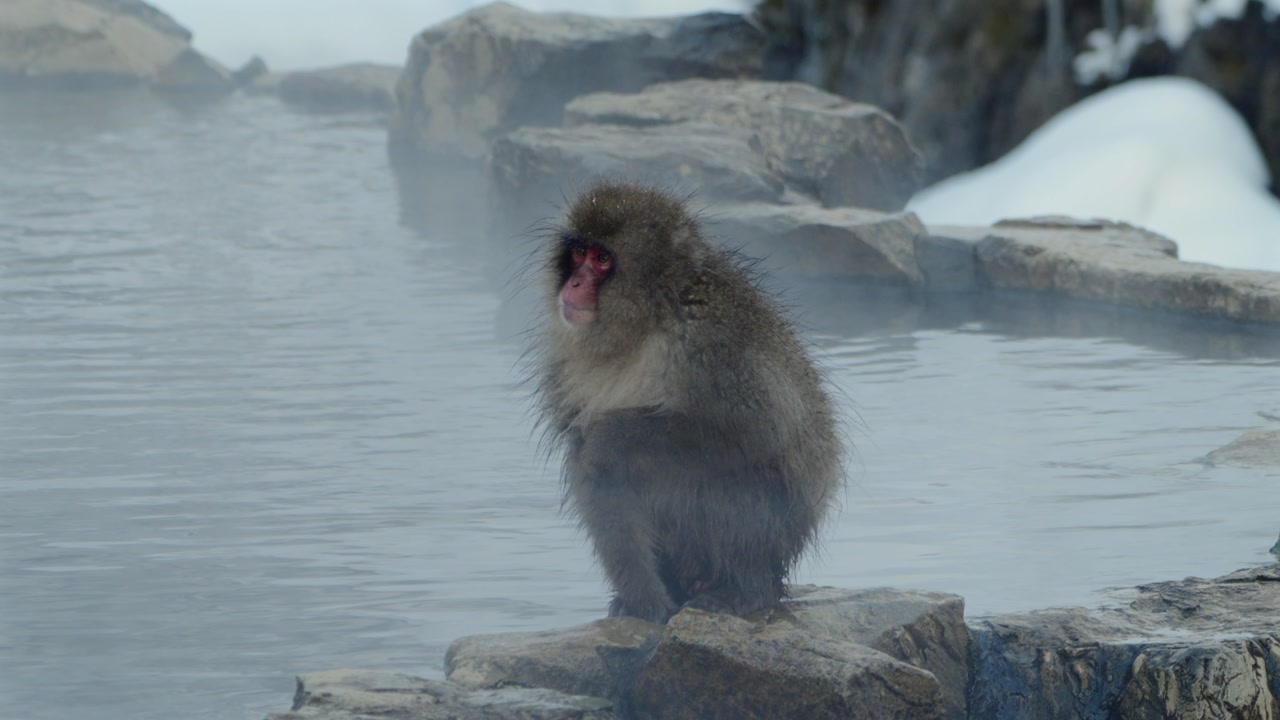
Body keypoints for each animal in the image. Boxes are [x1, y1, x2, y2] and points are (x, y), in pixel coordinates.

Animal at [532, 180, 843, 624]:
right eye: (578, 252)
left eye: (602, 259)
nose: (572, 285)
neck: (643, 326)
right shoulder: (565, 362)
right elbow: (594, 474)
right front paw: (644, 604)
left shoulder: (713, 341)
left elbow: (756, 435)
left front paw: (610, 435)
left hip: (772, 540)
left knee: (734, 475)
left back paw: (746, 592)